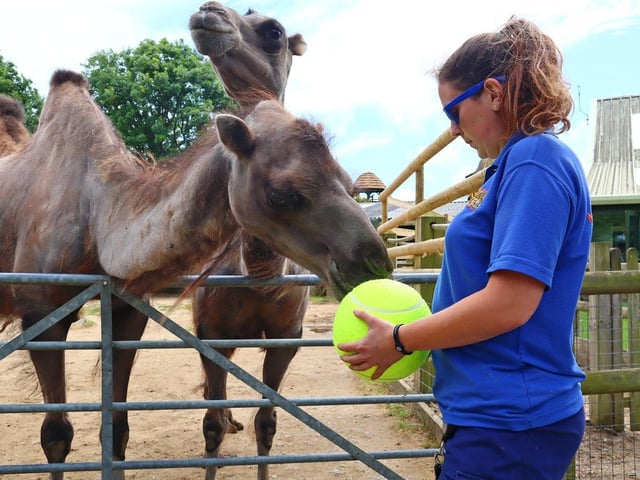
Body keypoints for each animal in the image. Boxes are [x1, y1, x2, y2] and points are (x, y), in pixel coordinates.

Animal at [0, 70, 392, 479]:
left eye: (348, 182)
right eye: (280, 195)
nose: (371, 263)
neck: (97, 221)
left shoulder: (129, 310)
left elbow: (117, 427)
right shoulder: (42, 315)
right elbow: (56, 436)